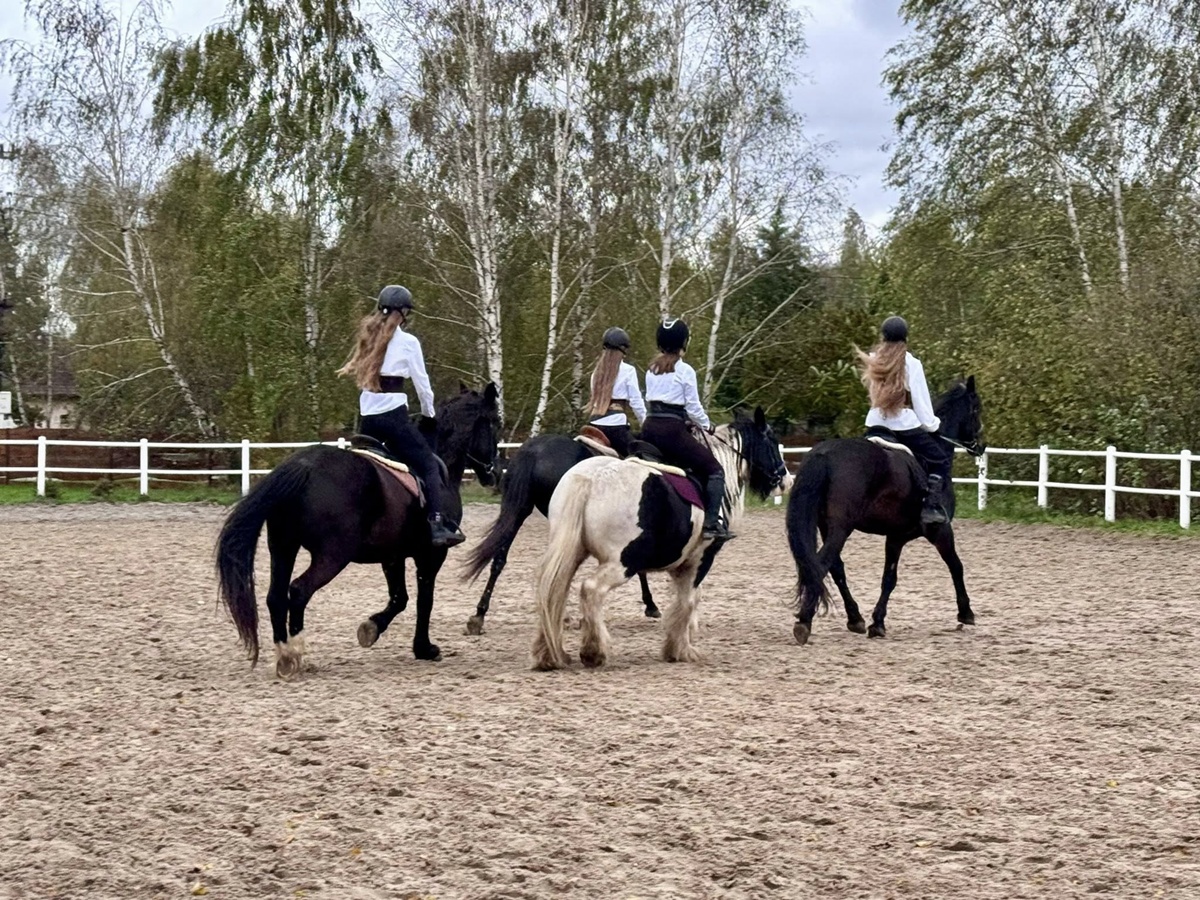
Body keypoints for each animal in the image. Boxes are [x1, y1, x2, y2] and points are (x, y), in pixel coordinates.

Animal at [215, 383, 501, 677]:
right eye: (496, 422)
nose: (494, 472)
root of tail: (302, 466)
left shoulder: (393, 554)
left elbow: (400, 598)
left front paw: (371, 629)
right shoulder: (431, 555)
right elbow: (424, 599)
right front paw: (424, 648)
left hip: (283, 547)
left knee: (275, 596)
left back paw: (284, 655)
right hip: (332, 556)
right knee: (298, 591)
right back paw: (295, 653)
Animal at [530, 407, 787, 670]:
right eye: (772, 440)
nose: (785, 480)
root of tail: (592, 479)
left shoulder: (681, 563)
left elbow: (686, 600)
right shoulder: (701, 559)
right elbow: (688, 600)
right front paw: (680, 649)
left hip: (571, 553)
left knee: (553, 592)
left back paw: (551, 654)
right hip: (622, 563)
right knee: (590, 590)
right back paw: (594, 651)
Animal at [787, 377, 985, 645]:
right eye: (976, 409)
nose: (981, 446)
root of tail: (824, 454)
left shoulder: (895, 536)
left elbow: (888, 578)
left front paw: (876, 622)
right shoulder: (939, 531)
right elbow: (955, 566)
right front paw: (966, 613)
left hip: (828, 527)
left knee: (835, 568)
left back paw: (854, 618)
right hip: (840, 528)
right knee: (822, 563)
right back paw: (805, 622)